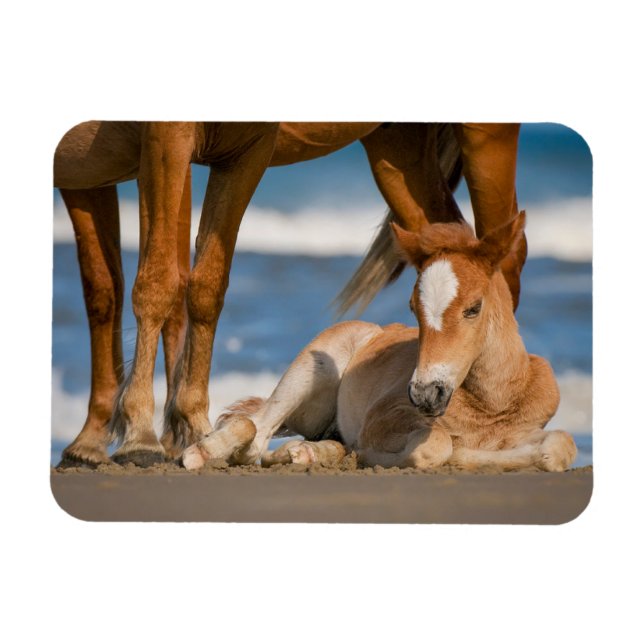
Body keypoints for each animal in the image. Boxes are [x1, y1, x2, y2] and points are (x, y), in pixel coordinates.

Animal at [54, 121, 523, 467]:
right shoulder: (93, 168)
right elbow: (110, 290)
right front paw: (101, 438)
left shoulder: (230, 146)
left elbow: (170, 282)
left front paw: (144, 434)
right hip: (398, 147)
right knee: (452, 239)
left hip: (485, 136)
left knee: (506, 254)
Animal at [181, 212, 577, 473]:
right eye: (413, 307)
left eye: (473, 308)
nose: (425, 394)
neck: (492, 403)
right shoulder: (383, 417)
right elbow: (439, 445)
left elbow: (560, 446)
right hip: (313, 367)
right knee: (254, 432)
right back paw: (202, 453)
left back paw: (311, 453)